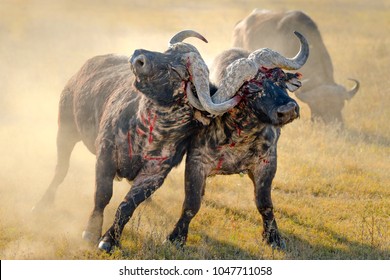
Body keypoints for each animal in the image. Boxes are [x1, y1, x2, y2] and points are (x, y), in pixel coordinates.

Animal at [169, 31, 310, 248]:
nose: (288, 110)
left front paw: (273, 237)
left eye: (279, 77)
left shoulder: (267, 162)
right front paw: (177, 237)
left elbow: (265, 203)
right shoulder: (195, 162)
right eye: (250, 88)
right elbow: (192, 203)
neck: (240, 137)